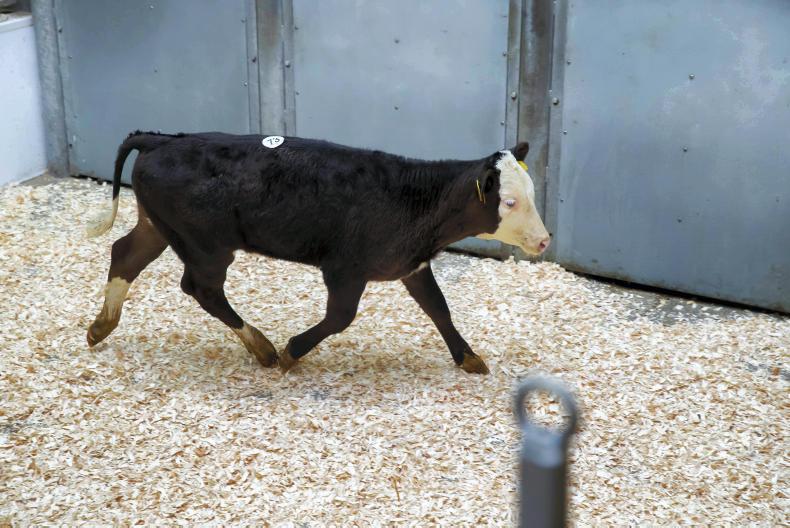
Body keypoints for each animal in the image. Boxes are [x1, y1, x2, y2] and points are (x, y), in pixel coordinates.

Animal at [86, 131, 550, 375]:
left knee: (125, 254)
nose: (545, 240)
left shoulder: (411, 265)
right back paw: (263, 348)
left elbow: (439, 309)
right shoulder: (345, 269)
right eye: (510, 201)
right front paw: (294, 350)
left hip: (158, 227)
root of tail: (163, 138)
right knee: (202, 289)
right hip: (206, 246)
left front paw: (468, 357)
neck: (415, 199)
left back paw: (101, 326)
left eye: (532, 192)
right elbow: (340, 317)